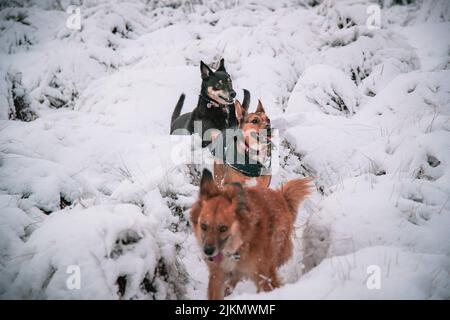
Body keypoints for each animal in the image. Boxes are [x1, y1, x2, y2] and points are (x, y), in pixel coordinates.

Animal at [189, 169, 310, 298]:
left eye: (223, 228)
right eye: (203, 226)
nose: (207, 251)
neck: (239, 246)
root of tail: (281, 196)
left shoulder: (265, 275)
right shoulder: (217, 276)